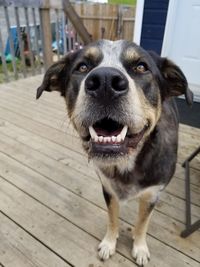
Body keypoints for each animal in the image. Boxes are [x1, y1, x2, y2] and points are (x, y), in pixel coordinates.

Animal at [36, 39, 193, 266]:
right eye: (82, 67)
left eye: (141, 67)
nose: (105, 82)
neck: (127, 163)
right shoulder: (108, 189)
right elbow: (112, 218)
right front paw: (109, 243)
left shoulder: (152, 195)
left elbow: (142, 223)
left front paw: (140, 247)